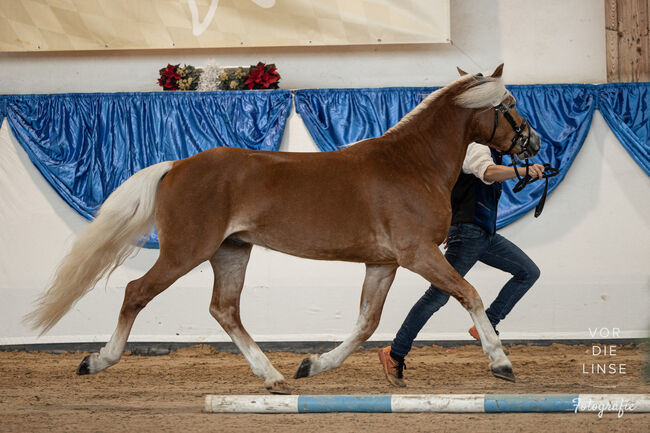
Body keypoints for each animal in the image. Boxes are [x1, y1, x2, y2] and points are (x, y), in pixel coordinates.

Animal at [26, 63, 536, 392]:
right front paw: (501, 363)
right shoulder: (419, 254)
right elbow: (469, 294)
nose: (532, 145)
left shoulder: (383, 263)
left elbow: (366, 323)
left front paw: (312, 365)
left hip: (231, 251)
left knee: (225, 310)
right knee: (137, 292)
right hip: (185, 251)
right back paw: (96, 361)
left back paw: (272, 377)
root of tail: (176, 166)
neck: (411, 164)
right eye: (510, 104)